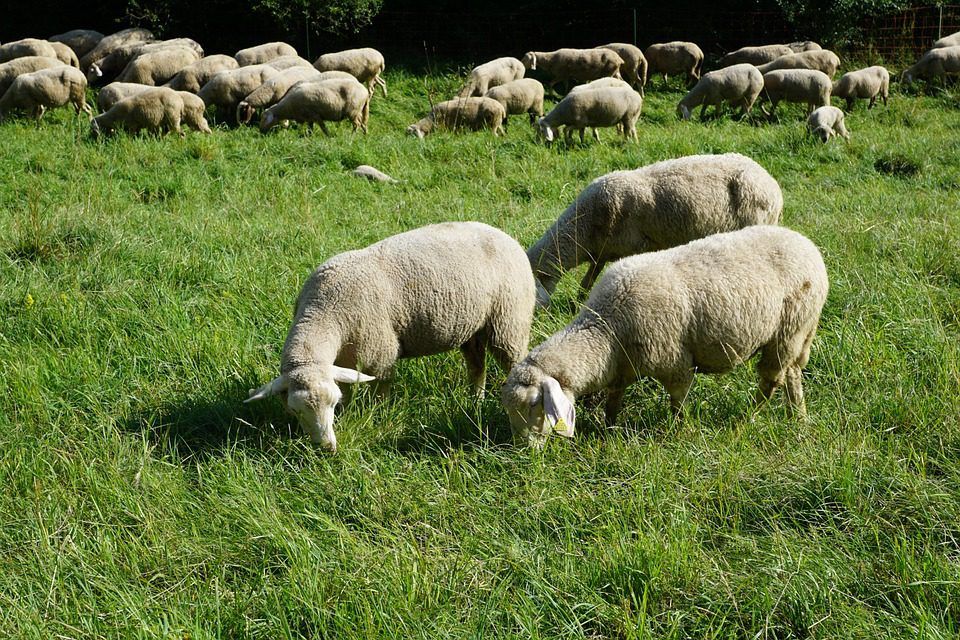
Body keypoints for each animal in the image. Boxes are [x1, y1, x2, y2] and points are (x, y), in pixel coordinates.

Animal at [245, 221, 537, 453]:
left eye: (331, 403)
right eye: (294, 410)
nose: (326, 448)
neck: (324, 311)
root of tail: (503, 234)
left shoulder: (380, 354)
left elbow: (380, 392)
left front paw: (378, 416)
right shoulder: (345, 361)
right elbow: (349, 388)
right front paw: (348, 414)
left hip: (509, 320)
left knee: (512, 360)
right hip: (472, 326)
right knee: (477, 364)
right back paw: (474, 400)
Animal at [503, 225, 828, 445]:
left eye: (533, 404)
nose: (526, 452)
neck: (608, 330)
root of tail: (808, 245)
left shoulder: (675, 363)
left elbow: (677, 403)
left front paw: (679, 431)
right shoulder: (622, 367)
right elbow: (613, 401)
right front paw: (608, 429)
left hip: (789, 329)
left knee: (771, 379)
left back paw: (746, 418)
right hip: (802, 331)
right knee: (792, 374)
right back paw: (797, 417)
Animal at [527, 153, 783, 306]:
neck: (586, 225)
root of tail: (773, 185)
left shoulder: (636, 246)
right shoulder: (602, 250)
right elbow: (588, 279)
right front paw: (579, 301)